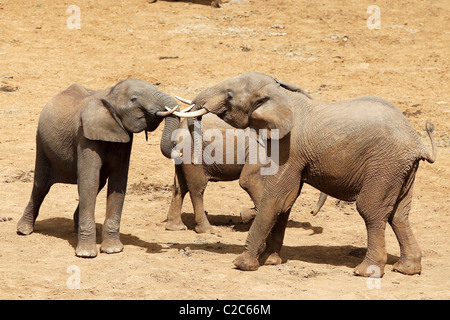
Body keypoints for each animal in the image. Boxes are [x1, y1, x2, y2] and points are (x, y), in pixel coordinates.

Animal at [17, 79, 183, 258]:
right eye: (134, 99)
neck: (109, 95)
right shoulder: (84, 136)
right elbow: (89, 181)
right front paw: (86, 254)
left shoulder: (124, 137)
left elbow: (118, 183)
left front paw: (113, 250)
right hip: (41, 142)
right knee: (41, 185)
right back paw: (24, 230)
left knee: (99, 184)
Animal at [178, 72, 438, 278]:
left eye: (230, 95)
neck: (281, 95)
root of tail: (418, 143)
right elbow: (286, 200)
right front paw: (271, 261)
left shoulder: (290, 146)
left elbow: (277, 196)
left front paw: (243, 264)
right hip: (400, 170)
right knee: (399, 214)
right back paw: (407, 269)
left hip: (384, 164)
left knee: (371, 210)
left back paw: (366, 272)